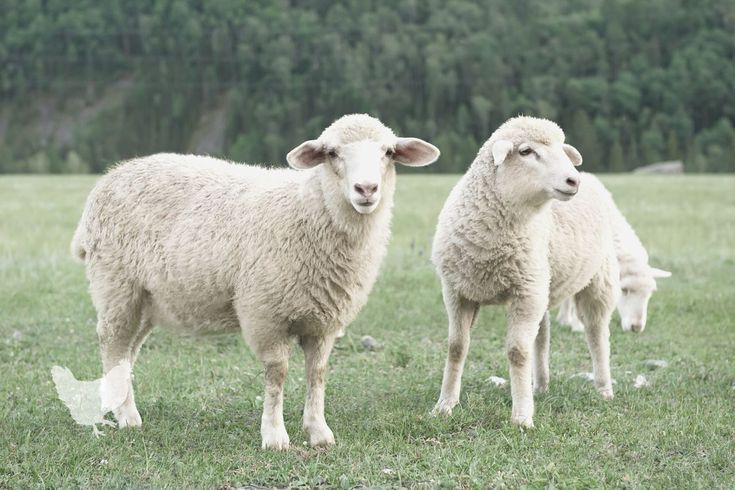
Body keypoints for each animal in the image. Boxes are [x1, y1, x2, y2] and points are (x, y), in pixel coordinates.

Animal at [70, 114, 440, 449]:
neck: (310, 211)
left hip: (147, 300)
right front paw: (275, 437)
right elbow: (277, 374)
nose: (366, 189)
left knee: (127, 353)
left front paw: (319, 433)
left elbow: (317, 374)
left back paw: (119, 408)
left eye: (389, 152)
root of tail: (111, 176)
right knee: (113, 346)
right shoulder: (265, 313)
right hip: (116, 286)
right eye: (332, 153)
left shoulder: (324, 321)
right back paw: (128, 417)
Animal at [431, 116, 620, 428]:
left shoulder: (525, 292)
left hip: (596, 280)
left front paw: (521, 417)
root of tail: (593, 179)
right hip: (542, 282)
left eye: (562, 149)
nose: (573, 180)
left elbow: (517, 352)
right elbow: (456, 347)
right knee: (542, 336)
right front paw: (445, 405)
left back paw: (604, 388)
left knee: (596, 333)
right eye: (526, 151)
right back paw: (540, 385)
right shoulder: (457, 291)